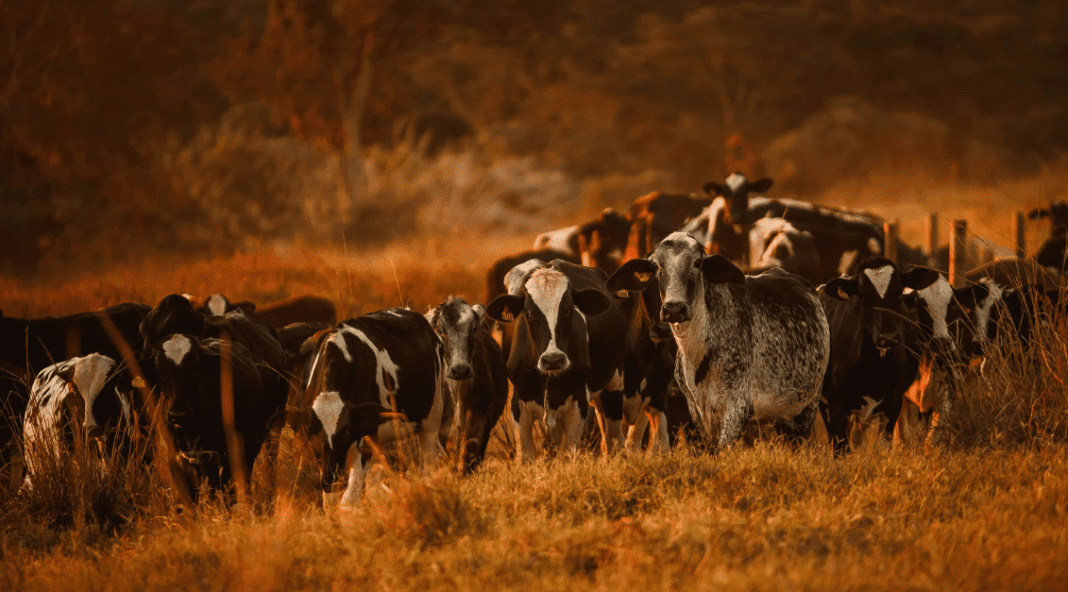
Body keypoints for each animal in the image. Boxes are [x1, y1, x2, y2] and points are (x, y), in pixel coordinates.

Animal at [283, 308, 445, 507]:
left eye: (346, 431)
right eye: (311, 431)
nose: (330, 478)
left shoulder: (361, 438)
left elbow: (348, 499)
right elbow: (330, 502)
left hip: (433, 416)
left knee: (427, 466)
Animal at [486, 259, 626, 460]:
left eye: (568, 309)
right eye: (528, 313)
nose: (553, 360)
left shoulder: (578, 403)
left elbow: (565, 455)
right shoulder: (519, 403)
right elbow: (526, 455)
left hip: (613, 385)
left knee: (614, 441)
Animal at [606, 232, 831, 450]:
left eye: (697, 263)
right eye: (657, 266)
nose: (674, 309)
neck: (698, 353)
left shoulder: (736, 408)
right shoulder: (696, 411)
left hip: (807, 408)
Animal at [818, 258, 940, 454]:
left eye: (899, 292)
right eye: (862, 296)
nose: (888, 337)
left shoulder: (893, 403)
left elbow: (883, 447)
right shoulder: (835, 405)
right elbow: (841, 448)